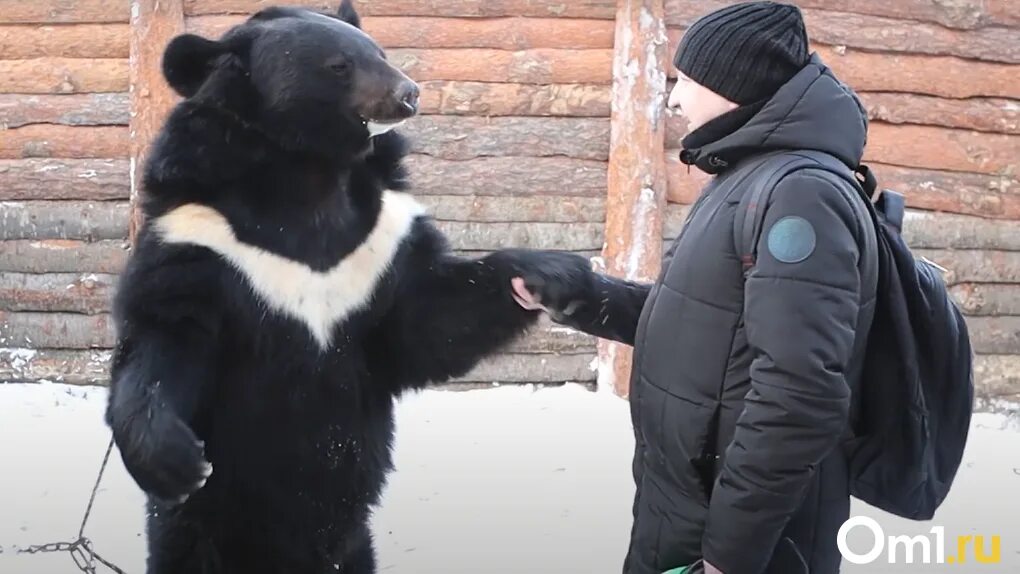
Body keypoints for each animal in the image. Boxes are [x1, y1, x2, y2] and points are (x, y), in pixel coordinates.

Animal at [102, 2, 591, 570]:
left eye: (379, 51)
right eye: (339, 65)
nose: (409, 93)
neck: (308, 175)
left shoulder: (383, 239)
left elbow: (429, 321)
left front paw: (555, 273)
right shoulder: (199, 237)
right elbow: (164, 335)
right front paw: (174, 459)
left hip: (352, 541)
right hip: (202, 530)